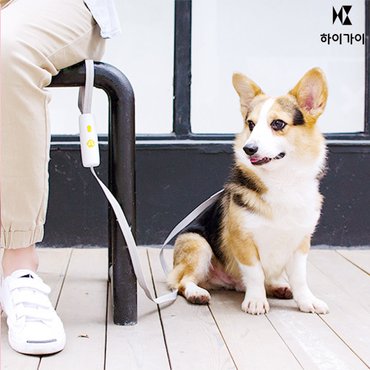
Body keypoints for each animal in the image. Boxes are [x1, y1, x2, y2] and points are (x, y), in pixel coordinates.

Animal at [168, 68, 330, 314]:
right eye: (251, 124)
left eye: (278, 124)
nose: (248, 148)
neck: (281, 181)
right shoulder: (243, 240)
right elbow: (254, 274)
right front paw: (255, 301)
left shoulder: (300, 243)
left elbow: (300, 278)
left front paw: (307, 301)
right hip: (197, 243)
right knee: (181, 281)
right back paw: (197, 293)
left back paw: (278, 286)